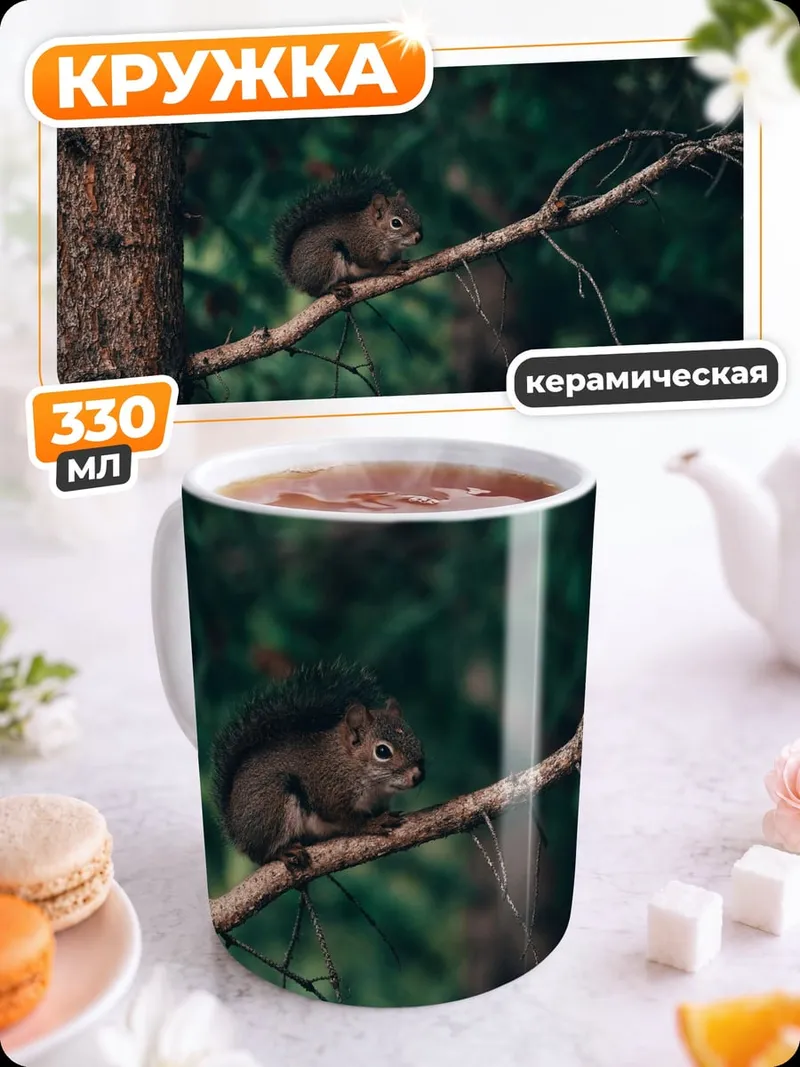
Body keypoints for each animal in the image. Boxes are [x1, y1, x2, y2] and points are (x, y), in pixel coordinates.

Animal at [211, 660, 426, 869]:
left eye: (417, 740)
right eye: (382, 751)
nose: (418, 776)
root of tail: (236, 830)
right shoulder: (330, 792)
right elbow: (348, 820)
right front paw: (373, 824)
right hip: (272, 803)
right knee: (263, 854)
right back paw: (283, 851)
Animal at [272, 167, 423, 298]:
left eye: (416, 214)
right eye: (396, 223)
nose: (418, 238)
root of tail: (295, 275)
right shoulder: (362, 248)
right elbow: (375, 265)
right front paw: (390, 268)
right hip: (324, 261)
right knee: (318, 291)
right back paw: (334, 287)